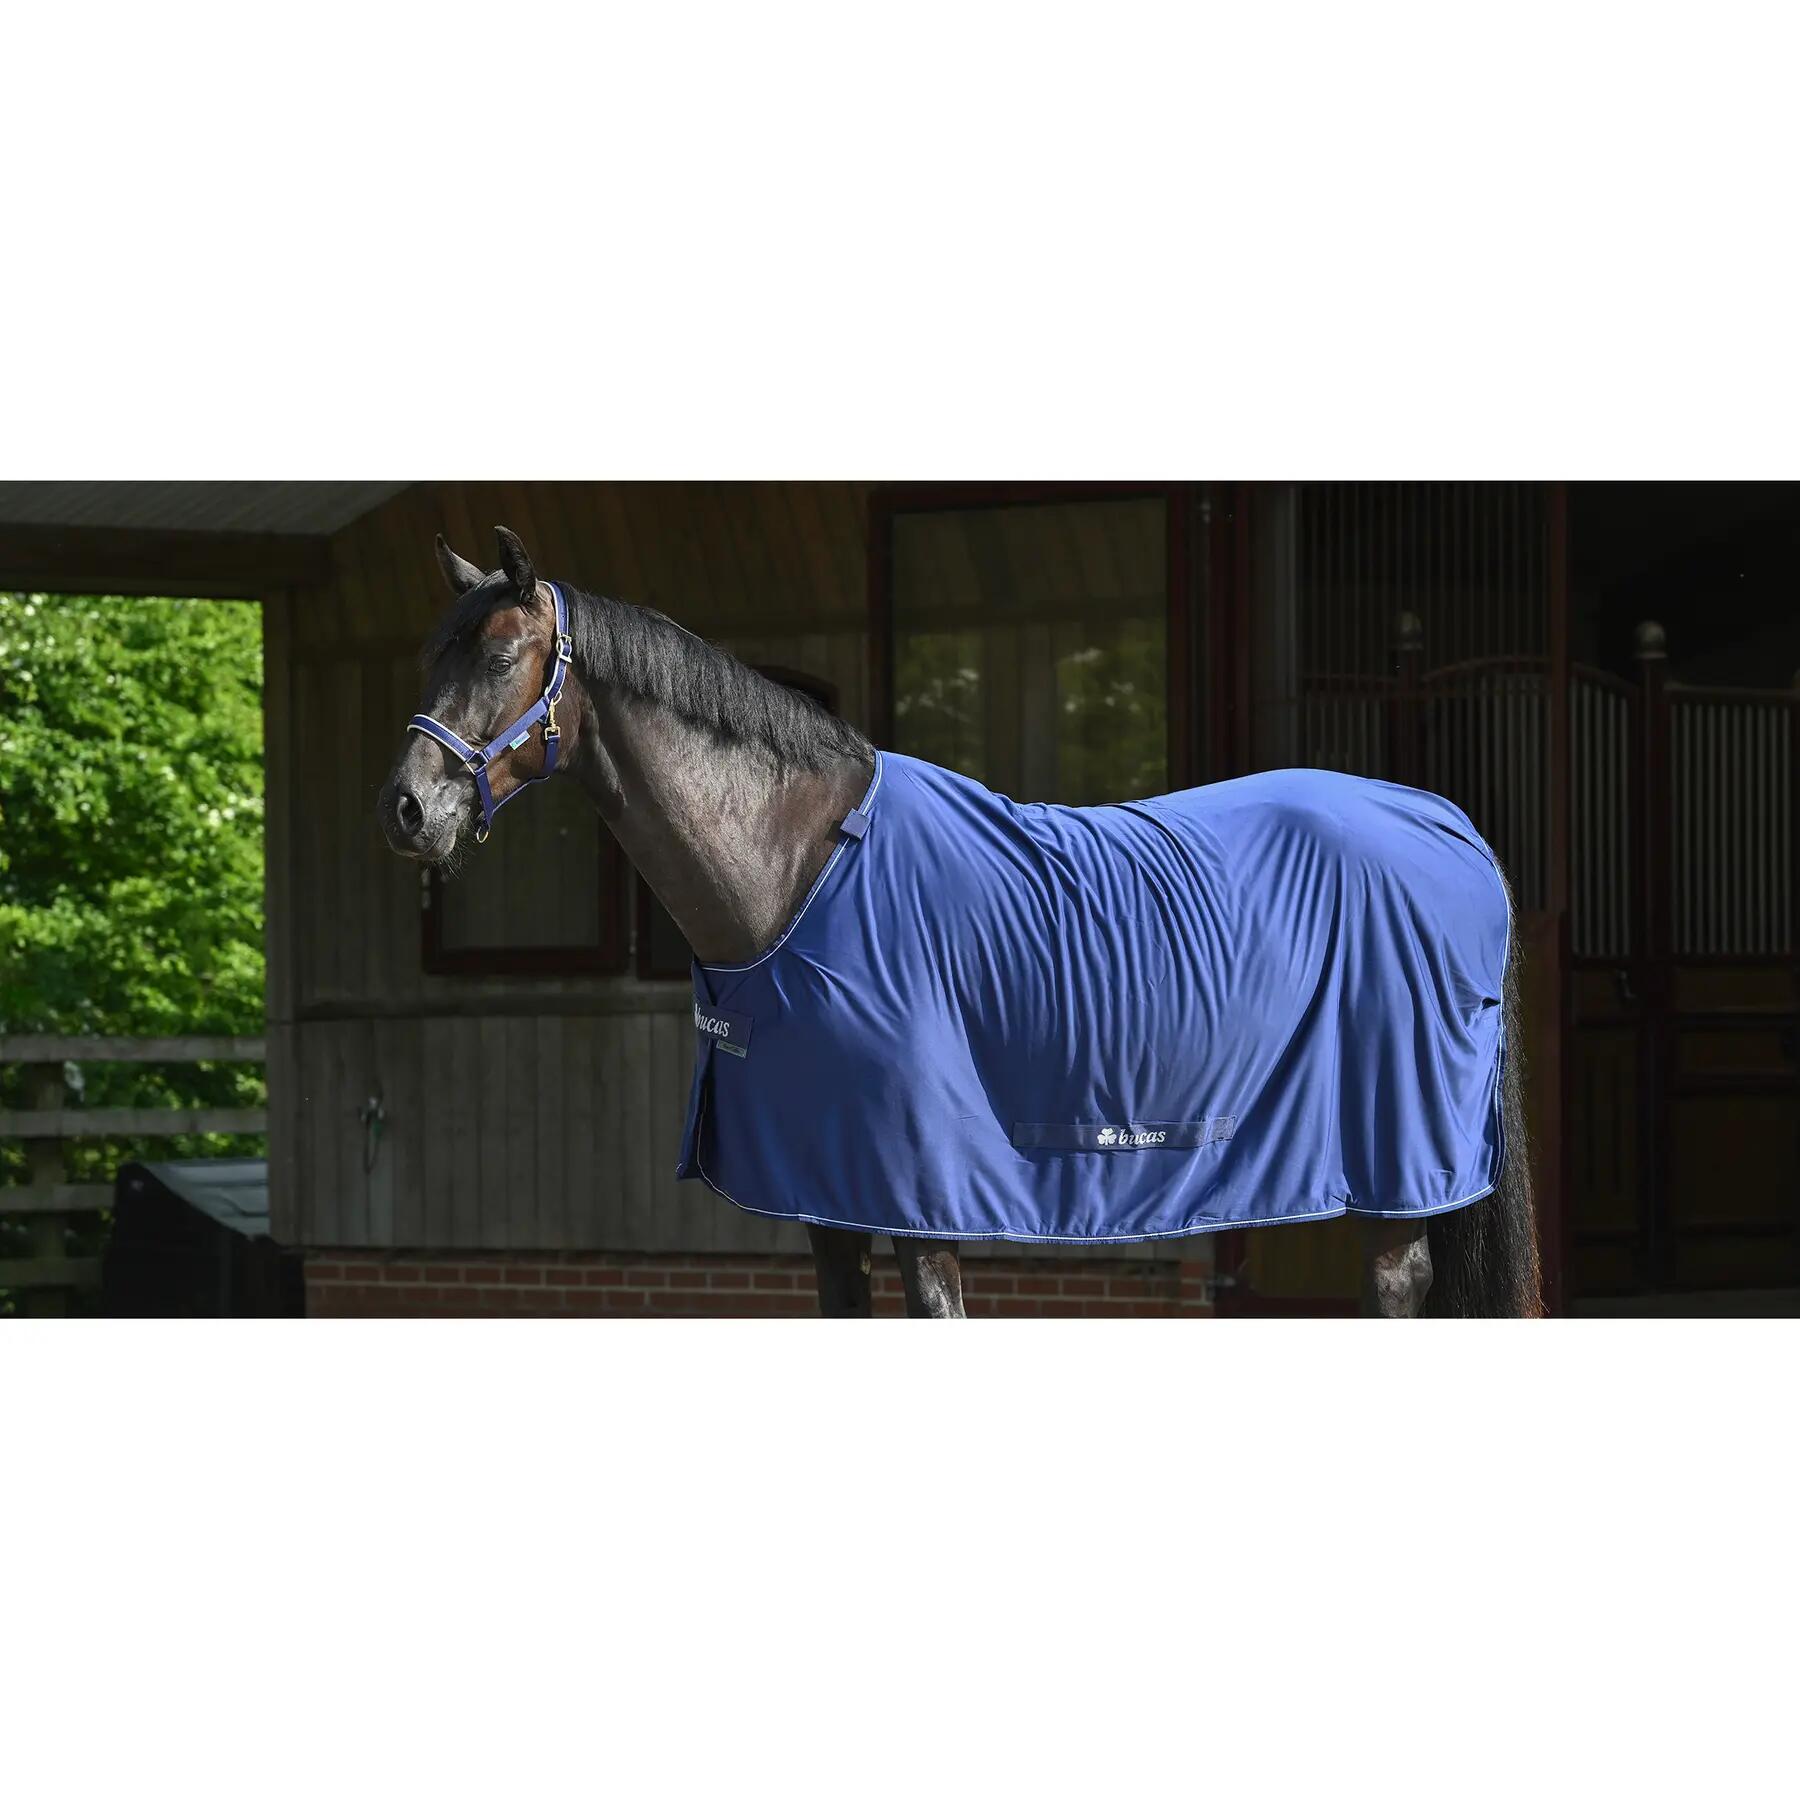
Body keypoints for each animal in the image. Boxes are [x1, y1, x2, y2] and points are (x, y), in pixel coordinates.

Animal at [378, 525, 1542, 1319]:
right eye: (429, 656)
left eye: (499, 657)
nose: (408, 809)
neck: (799, 876)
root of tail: (1444, 821)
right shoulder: (826, 1202)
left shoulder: (917, 1203)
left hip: (1397, 1162)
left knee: (1399, 1282)